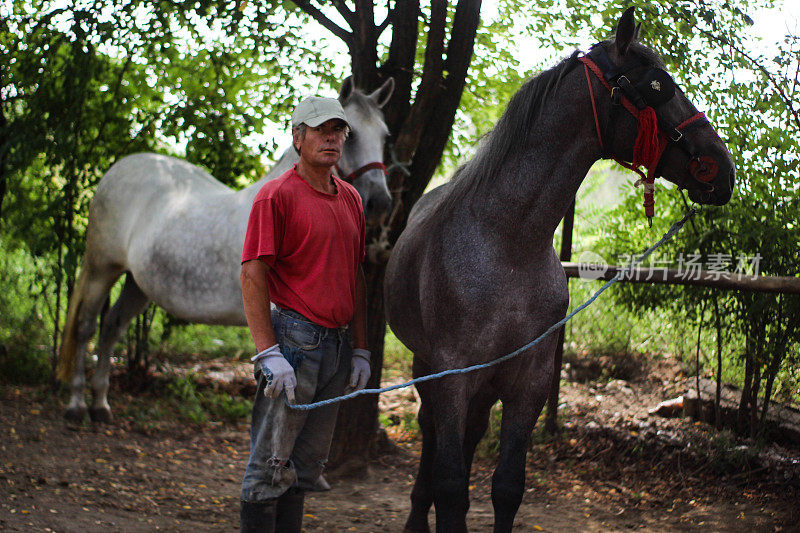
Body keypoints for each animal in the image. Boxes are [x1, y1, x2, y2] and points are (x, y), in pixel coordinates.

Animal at [384, 9, 736, 532]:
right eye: (658, 85)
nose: (723, 168)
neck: (508, 244)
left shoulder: (528, 381)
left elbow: (506, 486)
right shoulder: (452, 375)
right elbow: (450, 488)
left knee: (472, 435)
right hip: (427, 367)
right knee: (431, 436)